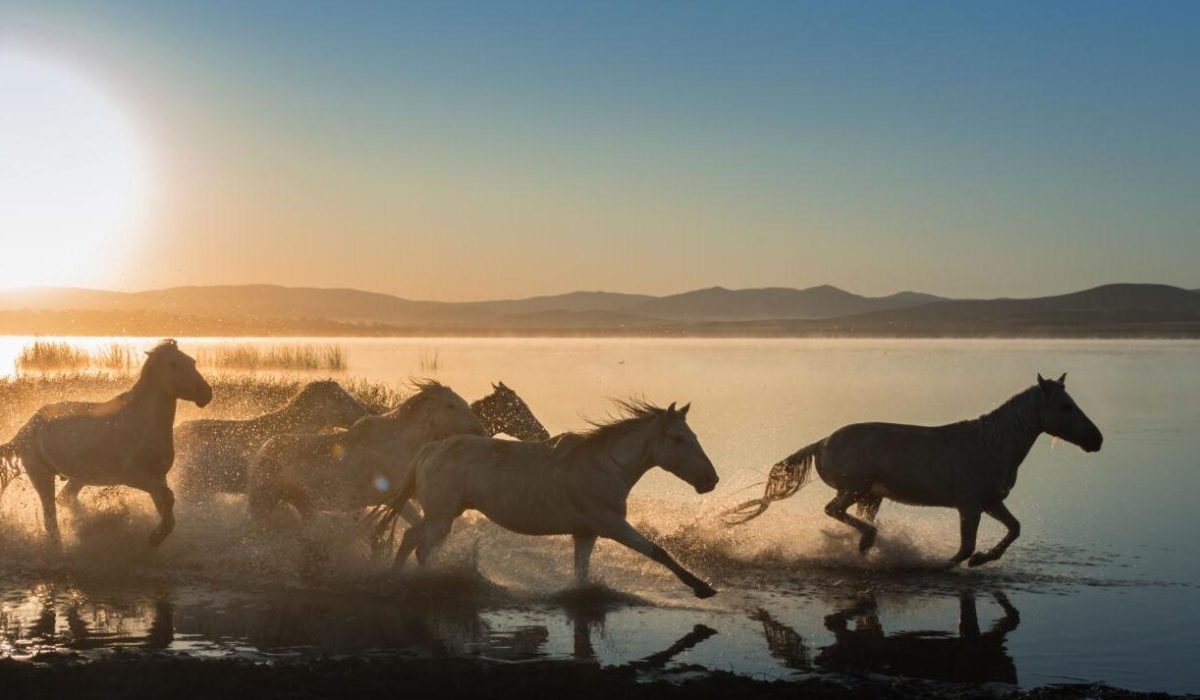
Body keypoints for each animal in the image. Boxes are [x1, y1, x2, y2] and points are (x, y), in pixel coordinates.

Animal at [0, 340, 213, 549]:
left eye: (192, 362)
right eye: (173, 364)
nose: (206, 393)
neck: (142, 422)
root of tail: (25, 430)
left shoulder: (159, 477)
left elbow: (165, 505)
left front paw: (156, 537)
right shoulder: (135, 477)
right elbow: (168, 498)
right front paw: (154, 537)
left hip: (78, 477)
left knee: (64, 499)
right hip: (42, 476)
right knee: (51, 520)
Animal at [245, 380, 486, 523]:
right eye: (450, 405)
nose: (480, 430)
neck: (400, 445)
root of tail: (262, 450)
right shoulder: (392, 498)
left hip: (301, 504)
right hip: (264, 501)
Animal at [374, 400, 721, 598]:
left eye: (694, 436)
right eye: (678, 438)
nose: (710, 480)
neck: (605, 466)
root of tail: (432, 449)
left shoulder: (586, 533)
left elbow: (581, 572)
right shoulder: (612, 524)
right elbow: (657, 551)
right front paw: (702, 588)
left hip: (441, 515)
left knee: (410, 539)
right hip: (441, 517)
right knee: (421, 546)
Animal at [725, 374, 1103, 567]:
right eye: (1065, 406)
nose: (1096, 440)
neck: (992, 444)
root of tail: (823, 442)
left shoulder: (991, 502)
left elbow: (1014, 529)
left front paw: (985, 558)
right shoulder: (970, 506)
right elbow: (964, 548)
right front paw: (948, 565)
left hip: (869, 496)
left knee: (849, 516)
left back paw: (863, 548)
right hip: (854, 489)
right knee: (833, 510)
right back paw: (868, 541)